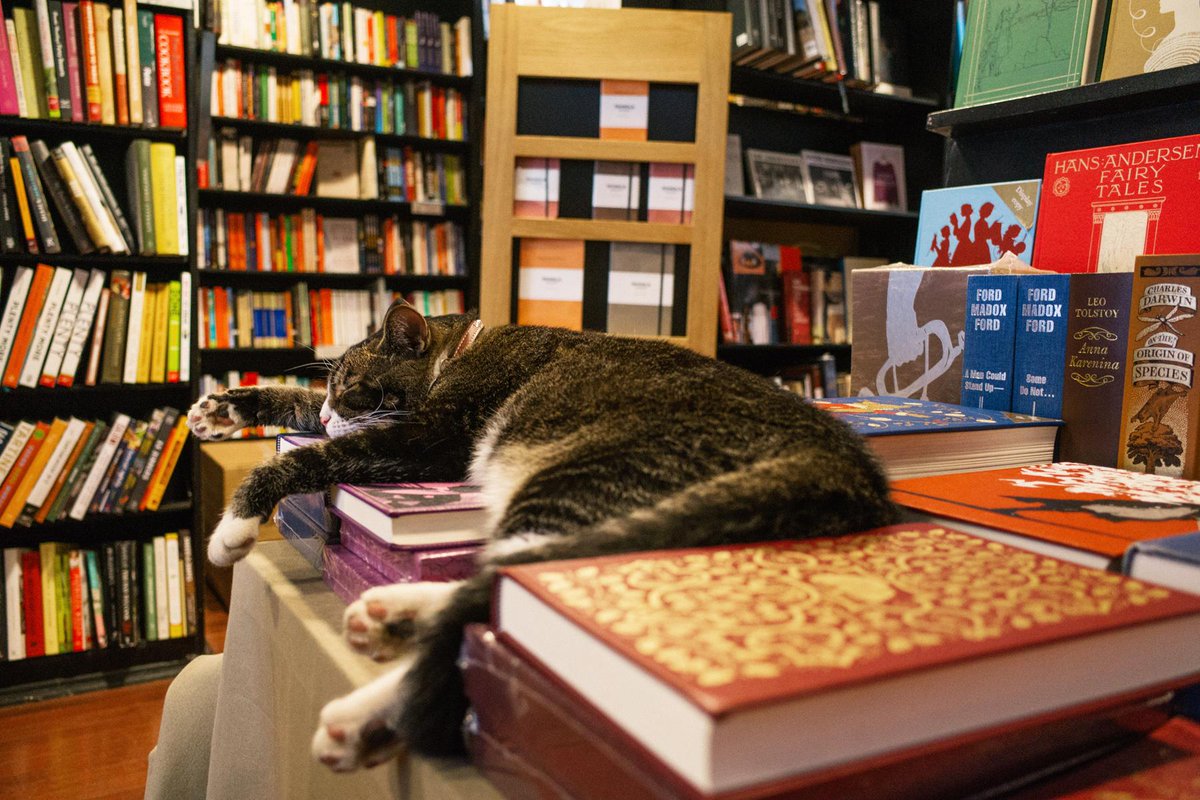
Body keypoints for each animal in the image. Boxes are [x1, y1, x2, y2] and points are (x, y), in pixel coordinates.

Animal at [187, 300, 898, 772]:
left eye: (356, 388)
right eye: (333, 388)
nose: (337, 412)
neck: (462, 349)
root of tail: (844, 462)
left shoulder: (430, 439)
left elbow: (311, 458)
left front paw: (234, 526)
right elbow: (298, 408)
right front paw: (221, 408)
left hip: (579, 477)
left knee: (496, 592)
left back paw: (362, 714)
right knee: (497, 580)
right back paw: (391, 618)